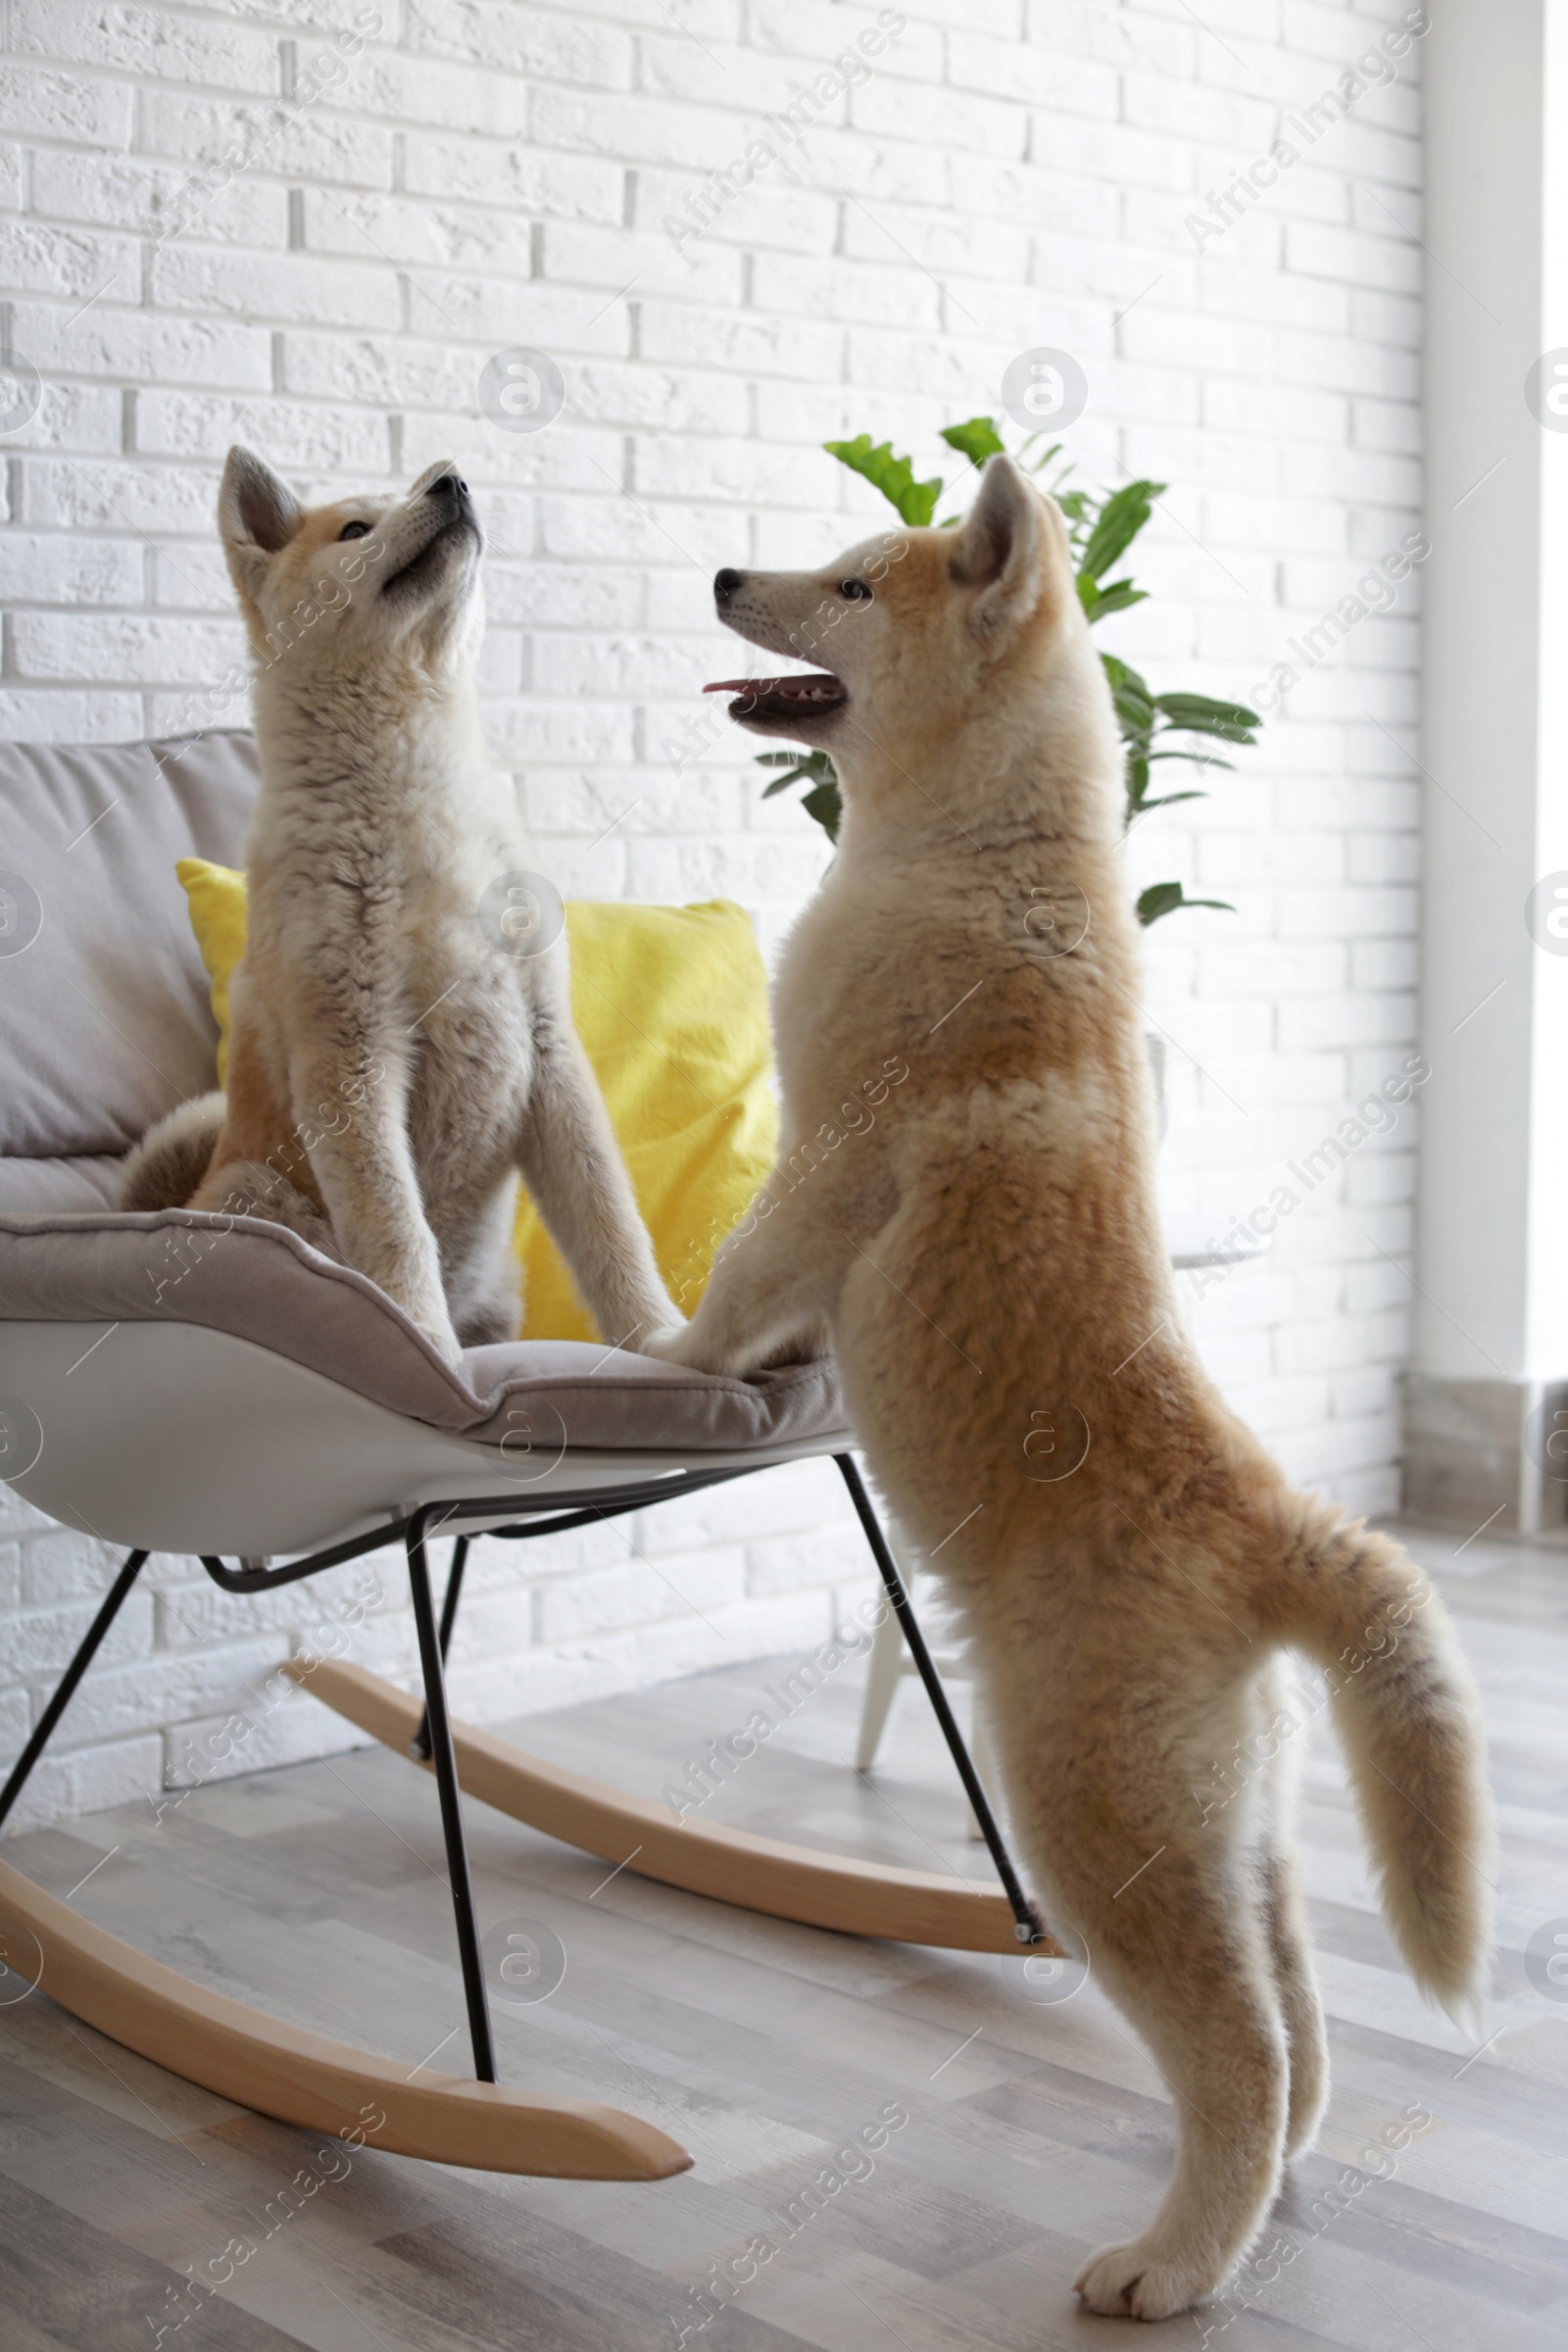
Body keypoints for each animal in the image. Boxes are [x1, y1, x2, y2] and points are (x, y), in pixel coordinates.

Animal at [123, 449, 681, 1373]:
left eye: (416, 491)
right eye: (355, 527)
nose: (452, 482)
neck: (412, 799)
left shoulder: (547, 1040)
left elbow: (610, 1223)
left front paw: (661, 1338)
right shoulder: (351, 1052)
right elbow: (394, 1229)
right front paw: (422, 1346)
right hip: (258, 1190)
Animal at [653, 454, 1494, 2314]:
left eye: (851, 584)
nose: (728, 572)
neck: (980, 853)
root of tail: (1268, 1525)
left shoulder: (826, 1167)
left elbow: (735, 1286)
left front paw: (663, 1355)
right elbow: (778, 1315)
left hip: (1090, 1818)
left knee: (1237, 2050)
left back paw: (1169, 2268)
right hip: (1232, 1823)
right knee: (1295, 2018)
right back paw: (1261, 2201)